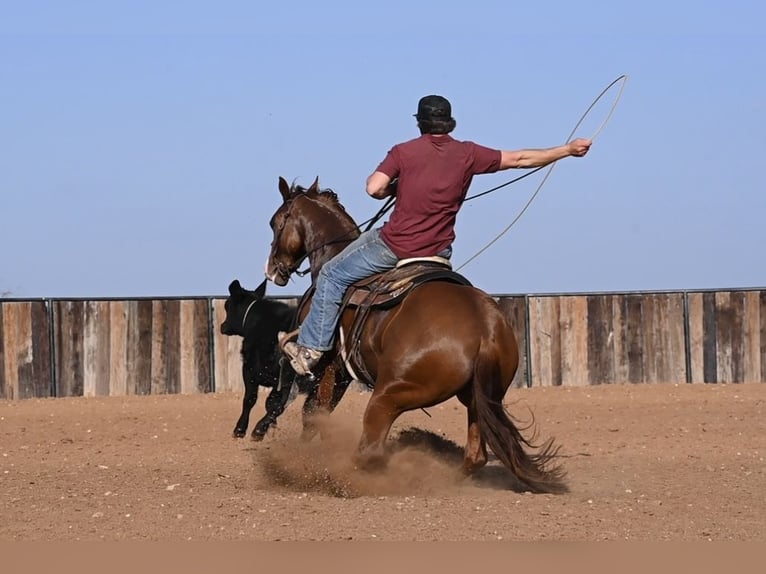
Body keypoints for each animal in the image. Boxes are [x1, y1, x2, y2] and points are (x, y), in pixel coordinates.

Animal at [219, 280, 306, 440]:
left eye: (228, 305)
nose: (223, 326)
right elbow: (271, 403)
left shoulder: (249, 370)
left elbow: (250, 399)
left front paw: (240, 429)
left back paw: (258, 430)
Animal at [266, 177, 568, 496]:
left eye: (276, 222)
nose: (273, 269)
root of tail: (484, 332)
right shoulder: (343, 372)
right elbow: (317, 412)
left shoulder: (330, 366)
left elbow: (314, 413)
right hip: (480, 397)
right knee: (475, 456)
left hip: (389, 396)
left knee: (369, 452)